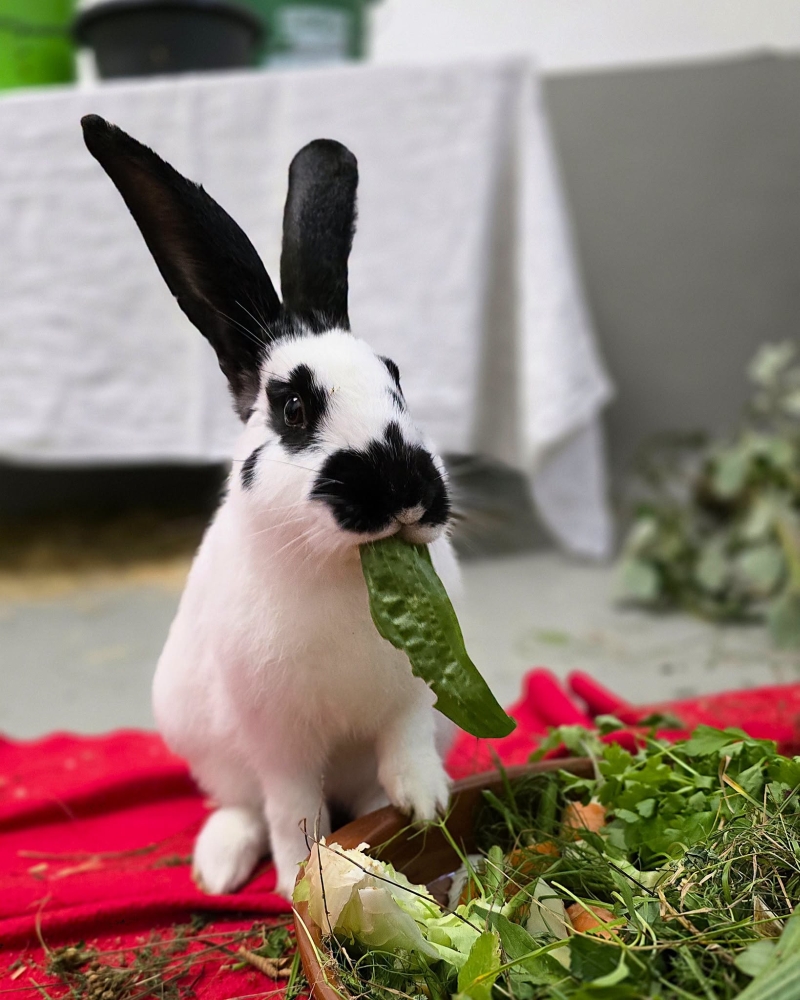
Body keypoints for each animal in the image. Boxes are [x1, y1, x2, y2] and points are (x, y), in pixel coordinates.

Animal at [81, 115, 460, 899]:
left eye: (397, 379)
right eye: (292, 408)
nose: (404, 490)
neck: (348, 570)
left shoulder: (413, 698)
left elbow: (404, 753)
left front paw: (427, 805)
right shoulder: (278, 738)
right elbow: (294, 810)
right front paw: (295, 882)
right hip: (205, 743)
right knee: (243, 805)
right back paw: (220, 868)